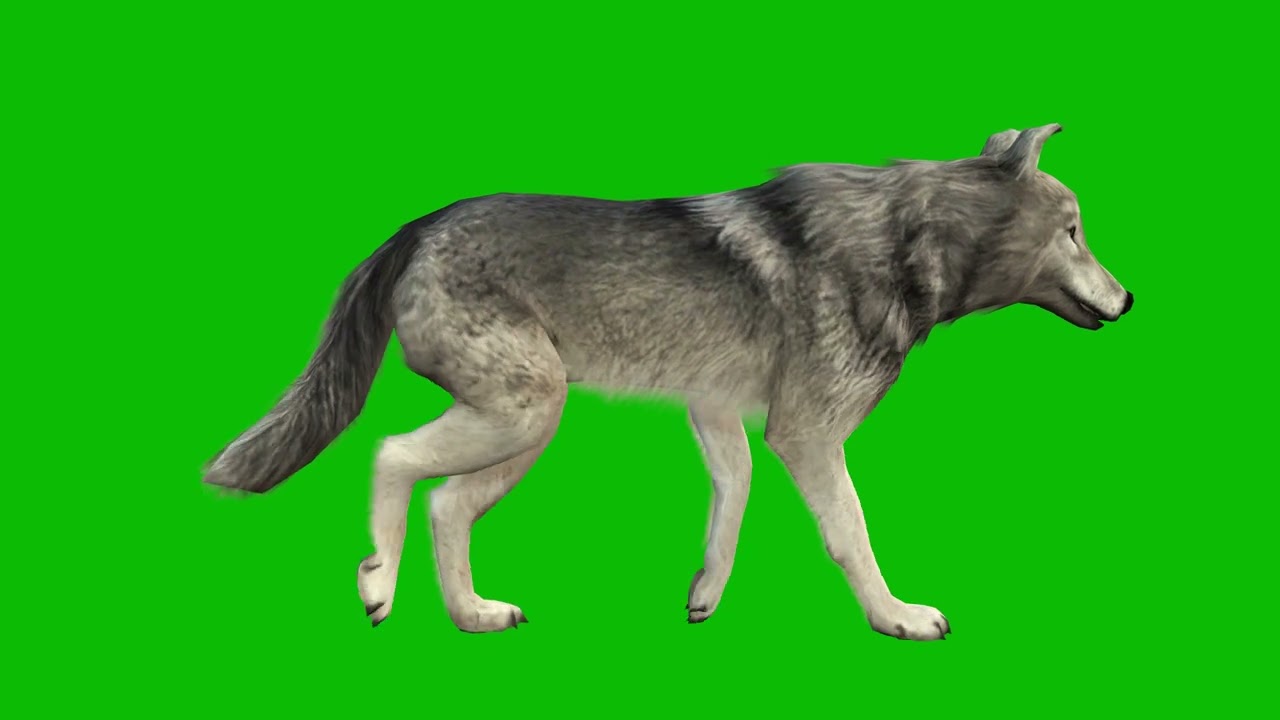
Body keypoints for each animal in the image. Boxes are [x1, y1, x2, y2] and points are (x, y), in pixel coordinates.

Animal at [204, 124, 1133, 639]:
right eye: (1076, 232)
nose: (1130, 299)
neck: (912, 243)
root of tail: (417, 224)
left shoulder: (719, 417)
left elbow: (730, 512)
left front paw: (703, 599)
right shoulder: (806, 435)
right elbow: (851, 535)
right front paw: (895, 618)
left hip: (526, 425)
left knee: (446, 504)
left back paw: (474, 615)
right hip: (524, 414)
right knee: (392, 456)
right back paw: (377, 585)